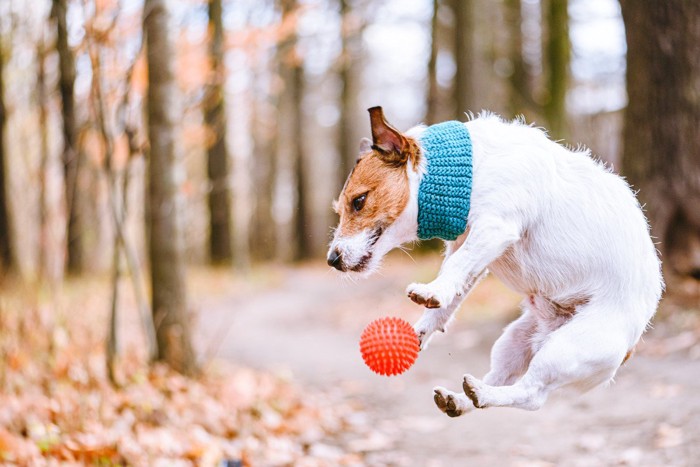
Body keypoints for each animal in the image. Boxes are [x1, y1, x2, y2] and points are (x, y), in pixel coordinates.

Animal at [328, 107, 660, 416]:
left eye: (359, 201)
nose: (332, 259)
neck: (471, 172)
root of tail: (632, 344)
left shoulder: (494, 229)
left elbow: (456, 267)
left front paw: (430, 292)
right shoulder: (472, 248)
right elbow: (452, 292)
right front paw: (421, 329)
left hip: (568, 348)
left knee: (531, 395)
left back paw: (484, 394)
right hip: (514, 340)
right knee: (500, 377)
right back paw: (463, 399)